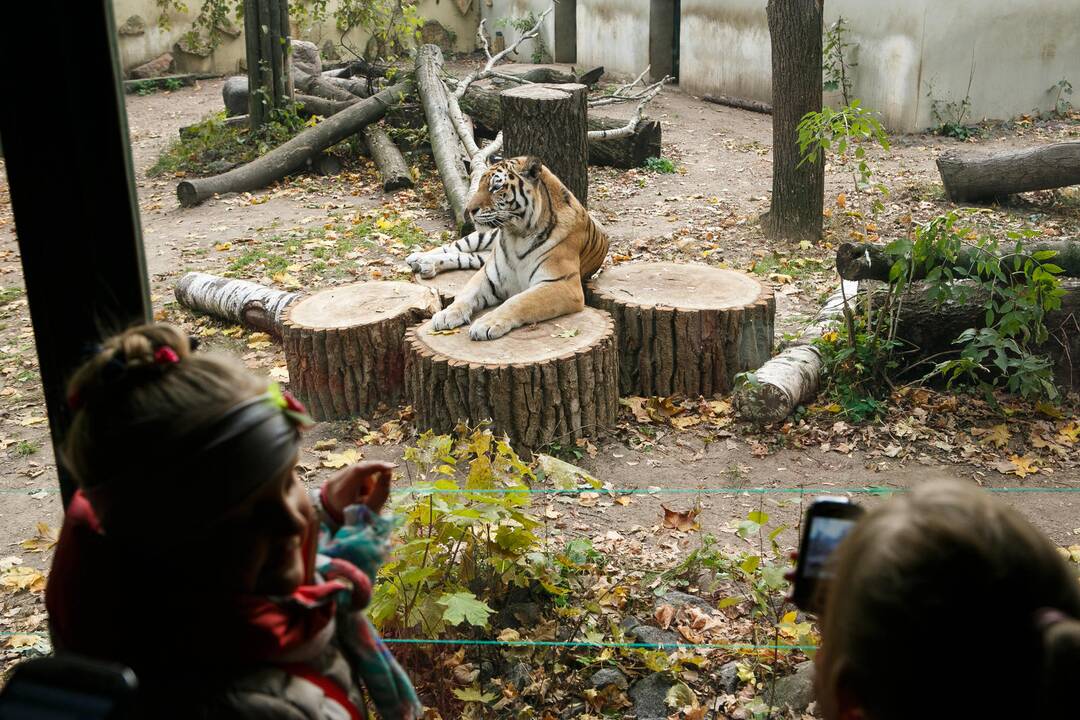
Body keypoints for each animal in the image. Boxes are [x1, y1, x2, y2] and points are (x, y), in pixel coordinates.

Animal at [406, 156, 609, 343]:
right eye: (479, 185)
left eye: (496, 187)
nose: (469, 210)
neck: (517, 236)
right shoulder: (487, 276)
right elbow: (465, 294)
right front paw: (446, 314)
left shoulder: (562, 284)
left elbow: (518, 301)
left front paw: (484, 324)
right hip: (484, 237)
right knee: (454, 245)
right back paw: (417, 258)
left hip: (482, 255)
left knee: (464, 256)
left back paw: (426, 265)